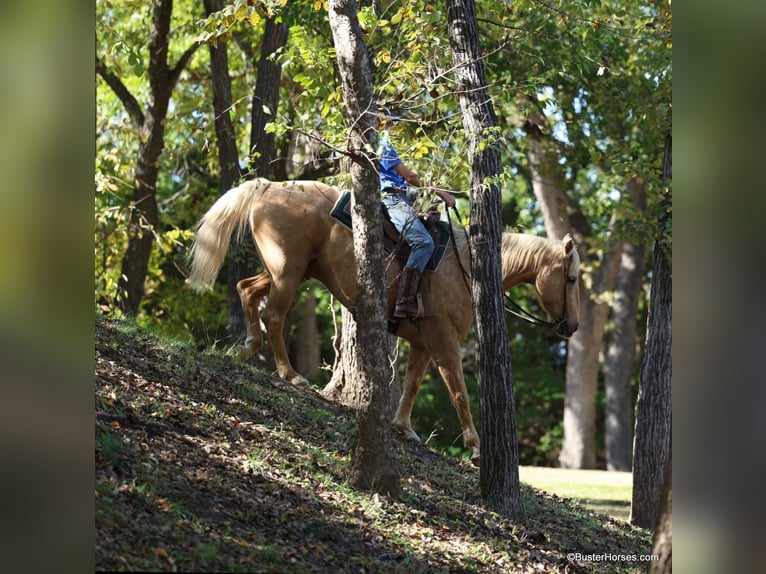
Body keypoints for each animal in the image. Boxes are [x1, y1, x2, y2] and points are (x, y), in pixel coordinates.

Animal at [187, 178, 580, 465]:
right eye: (573, 278)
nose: (573, 326)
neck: (465, 266)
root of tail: (270, 186)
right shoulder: (445, 342)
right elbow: (459, 393)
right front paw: (476, 447)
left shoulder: (423, 342)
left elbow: (412, 385)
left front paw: (404, 428)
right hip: (288, 271)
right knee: (273, 315)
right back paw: (290, 374)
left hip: (289, 271)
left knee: (246, 290)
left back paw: (246, 349)